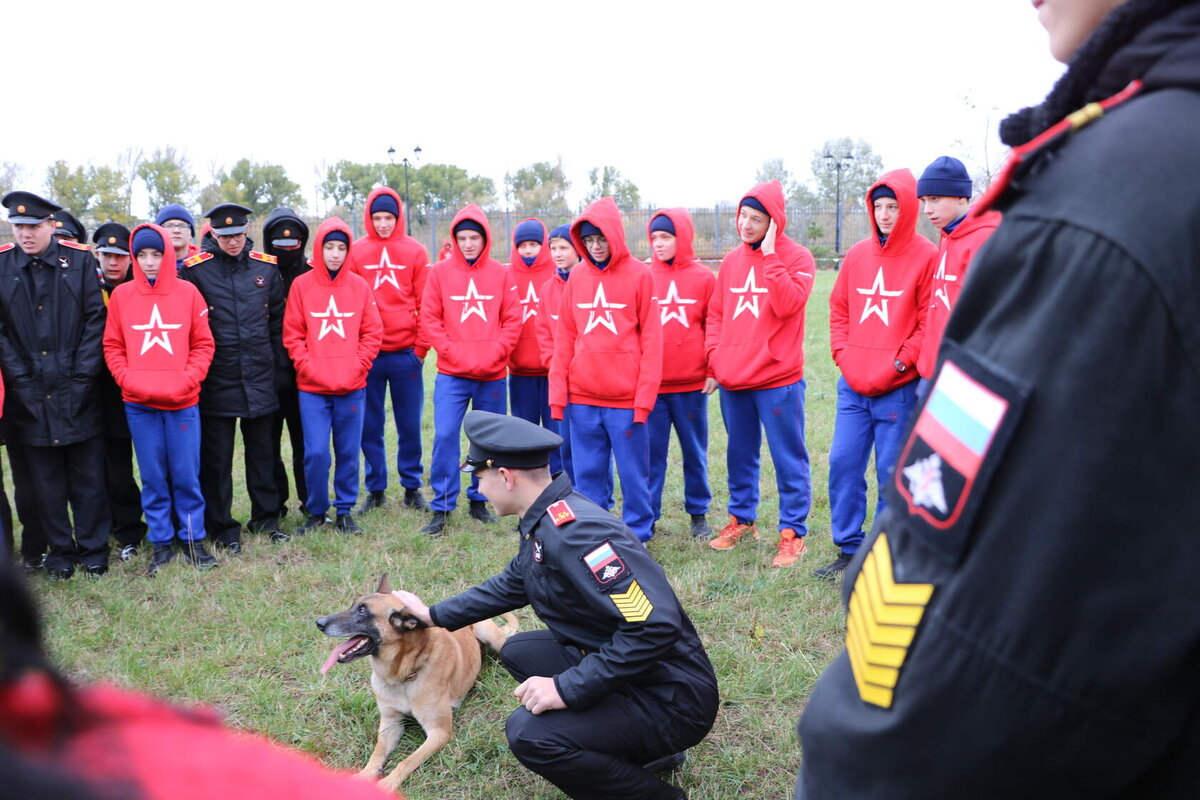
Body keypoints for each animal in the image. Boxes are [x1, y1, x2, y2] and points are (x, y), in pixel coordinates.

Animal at [314, 575, 516, 796]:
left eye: (362, 611)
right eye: (353, 606)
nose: (319, 623)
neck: (402, 675)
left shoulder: (439, 732)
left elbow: (407, 761)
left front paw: (387, 784)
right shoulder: (390, 723)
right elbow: (377, 753)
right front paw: (363, 776)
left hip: (490, 636)